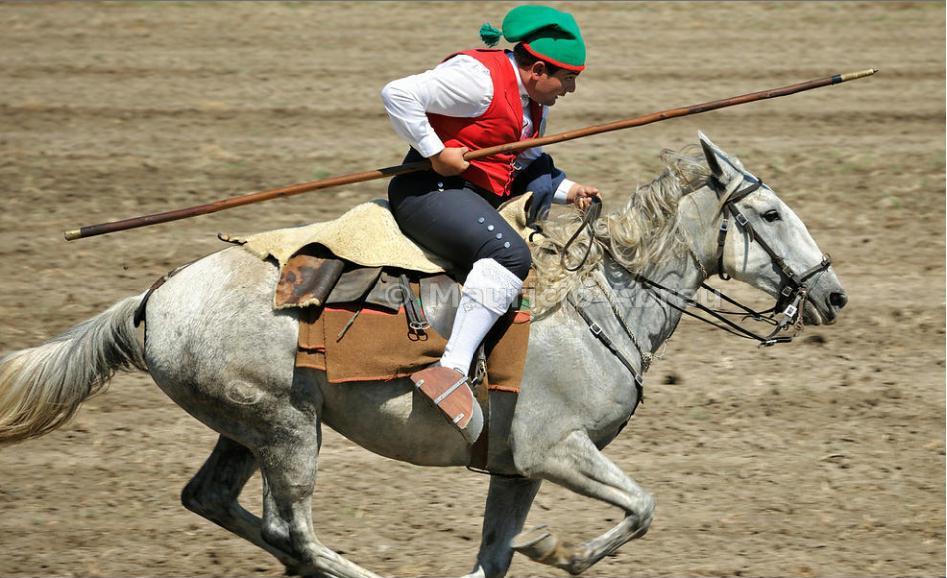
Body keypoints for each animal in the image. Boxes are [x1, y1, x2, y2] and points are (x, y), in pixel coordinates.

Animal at [0, 133, 847, 578]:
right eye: (770, 213)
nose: (833, 294)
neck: (593, 307)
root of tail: (155, 295)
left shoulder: (514, 469)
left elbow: (496, 555)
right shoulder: (555, 450)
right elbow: (639, 506)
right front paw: (565, 551)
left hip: (247, 429)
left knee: (219, 503)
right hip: (286, 431)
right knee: (291, 529)